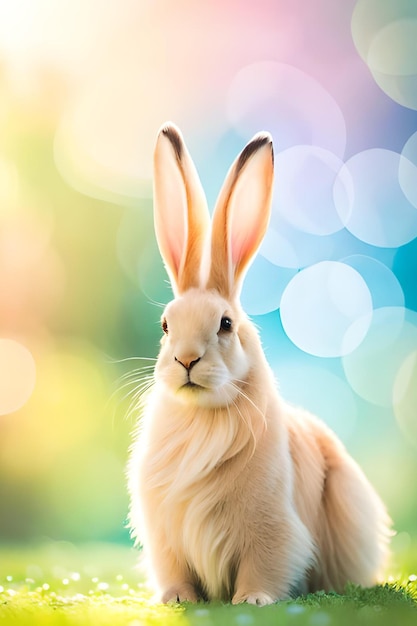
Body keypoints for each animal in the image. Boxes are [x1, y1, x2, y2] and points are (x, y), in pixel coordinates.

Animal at [127, 122, 390, 604]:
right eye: (166, 325)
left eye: (226, 324)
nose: (186, 360)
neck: (202, 417)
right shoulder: (165, 537)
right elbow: (176, 572)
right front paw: (177, 599)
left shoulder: (273, 528)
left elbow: (265, 567)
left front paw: (252, 600)